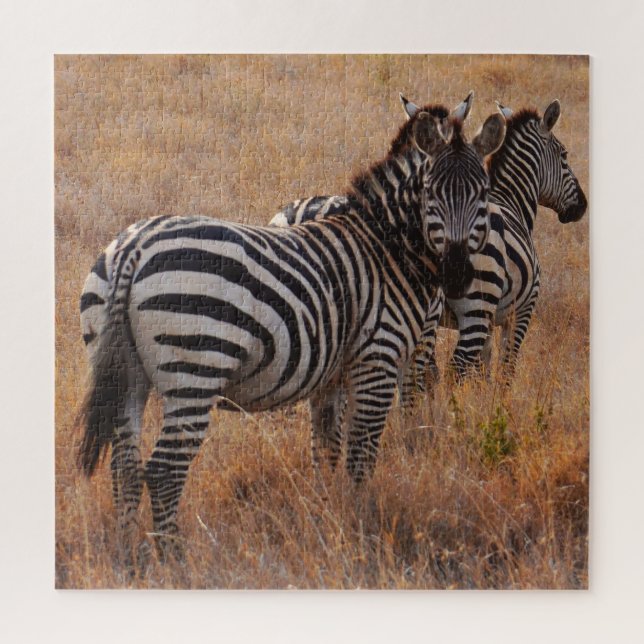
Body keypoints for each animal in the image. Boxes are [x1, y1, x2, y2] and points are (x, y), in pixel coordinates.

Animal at [77, 101, 506, 563]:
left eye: (483, 193)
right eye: (430, 193)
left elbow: (327, 451)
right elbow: (361, 456)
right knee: (163, 471)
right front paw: (358, 525)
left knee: (124, 467)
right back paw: (173, 559)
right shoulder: (378, 359)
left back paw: (127, 555)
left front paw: (327, 515)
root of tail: (134, 248)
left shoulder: (333, 376)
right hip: (194, 369)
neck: (387, 249)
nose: (457, 275)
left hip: (126, 374)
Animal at [269, 97, 587, 389]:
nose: (582, 207)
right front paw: (495, 407)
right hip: (475, 306)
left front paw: (480, 403)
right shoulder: (519, 311)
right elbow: (505, 370)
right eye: (564, 155)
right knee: (454, 369)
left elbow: (480, 371)